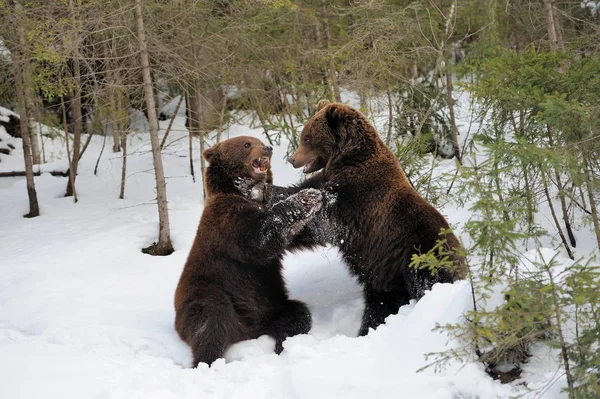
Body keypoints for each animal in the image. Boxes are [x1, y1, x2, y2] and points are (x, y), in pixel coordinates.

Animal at [173, 136, 324, 368]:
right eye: (246, 143)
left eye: (259, 140)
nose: (268, 148)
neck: (246, 196)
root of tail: (248, 331)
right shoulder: (227, 220)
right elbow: (260, 236)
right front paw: (308, 196)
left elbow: (296, 234)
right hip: (209, 292)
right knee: (211, 321)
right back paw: (207, 361)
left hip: (270, 304)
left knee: (298, 315)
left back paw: (283, 346)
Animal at [270, 101, 466, 338]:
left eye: (307, 137)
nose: (292, 159)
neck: (347, 159)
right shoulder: (327, 177)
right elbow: (300, 191)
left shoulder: (357, 200)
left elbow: (323, 220)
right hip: (386, 277)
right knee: (380, 306)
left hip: (421, 258)